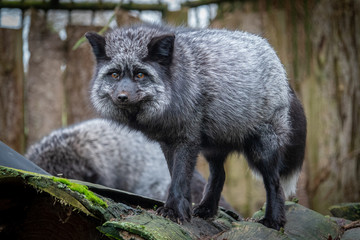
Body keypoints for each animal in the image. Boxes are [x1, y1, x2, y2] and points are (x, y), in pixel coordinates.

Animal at [85, 23, 306, 230]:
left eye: (140, 75)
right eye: (114, 75)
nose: (122, 97)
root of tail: (276, 60)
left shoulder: (187, 139)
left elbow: (180, 177)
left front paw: (174, 211)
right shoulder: (168, 141)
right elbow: (176, 175)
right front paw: (183, 209)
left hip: (261, 148)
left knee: (274, 182)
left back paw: (274, 220)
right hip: (212, 147)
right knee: (219, 175)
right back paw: (207, 209)